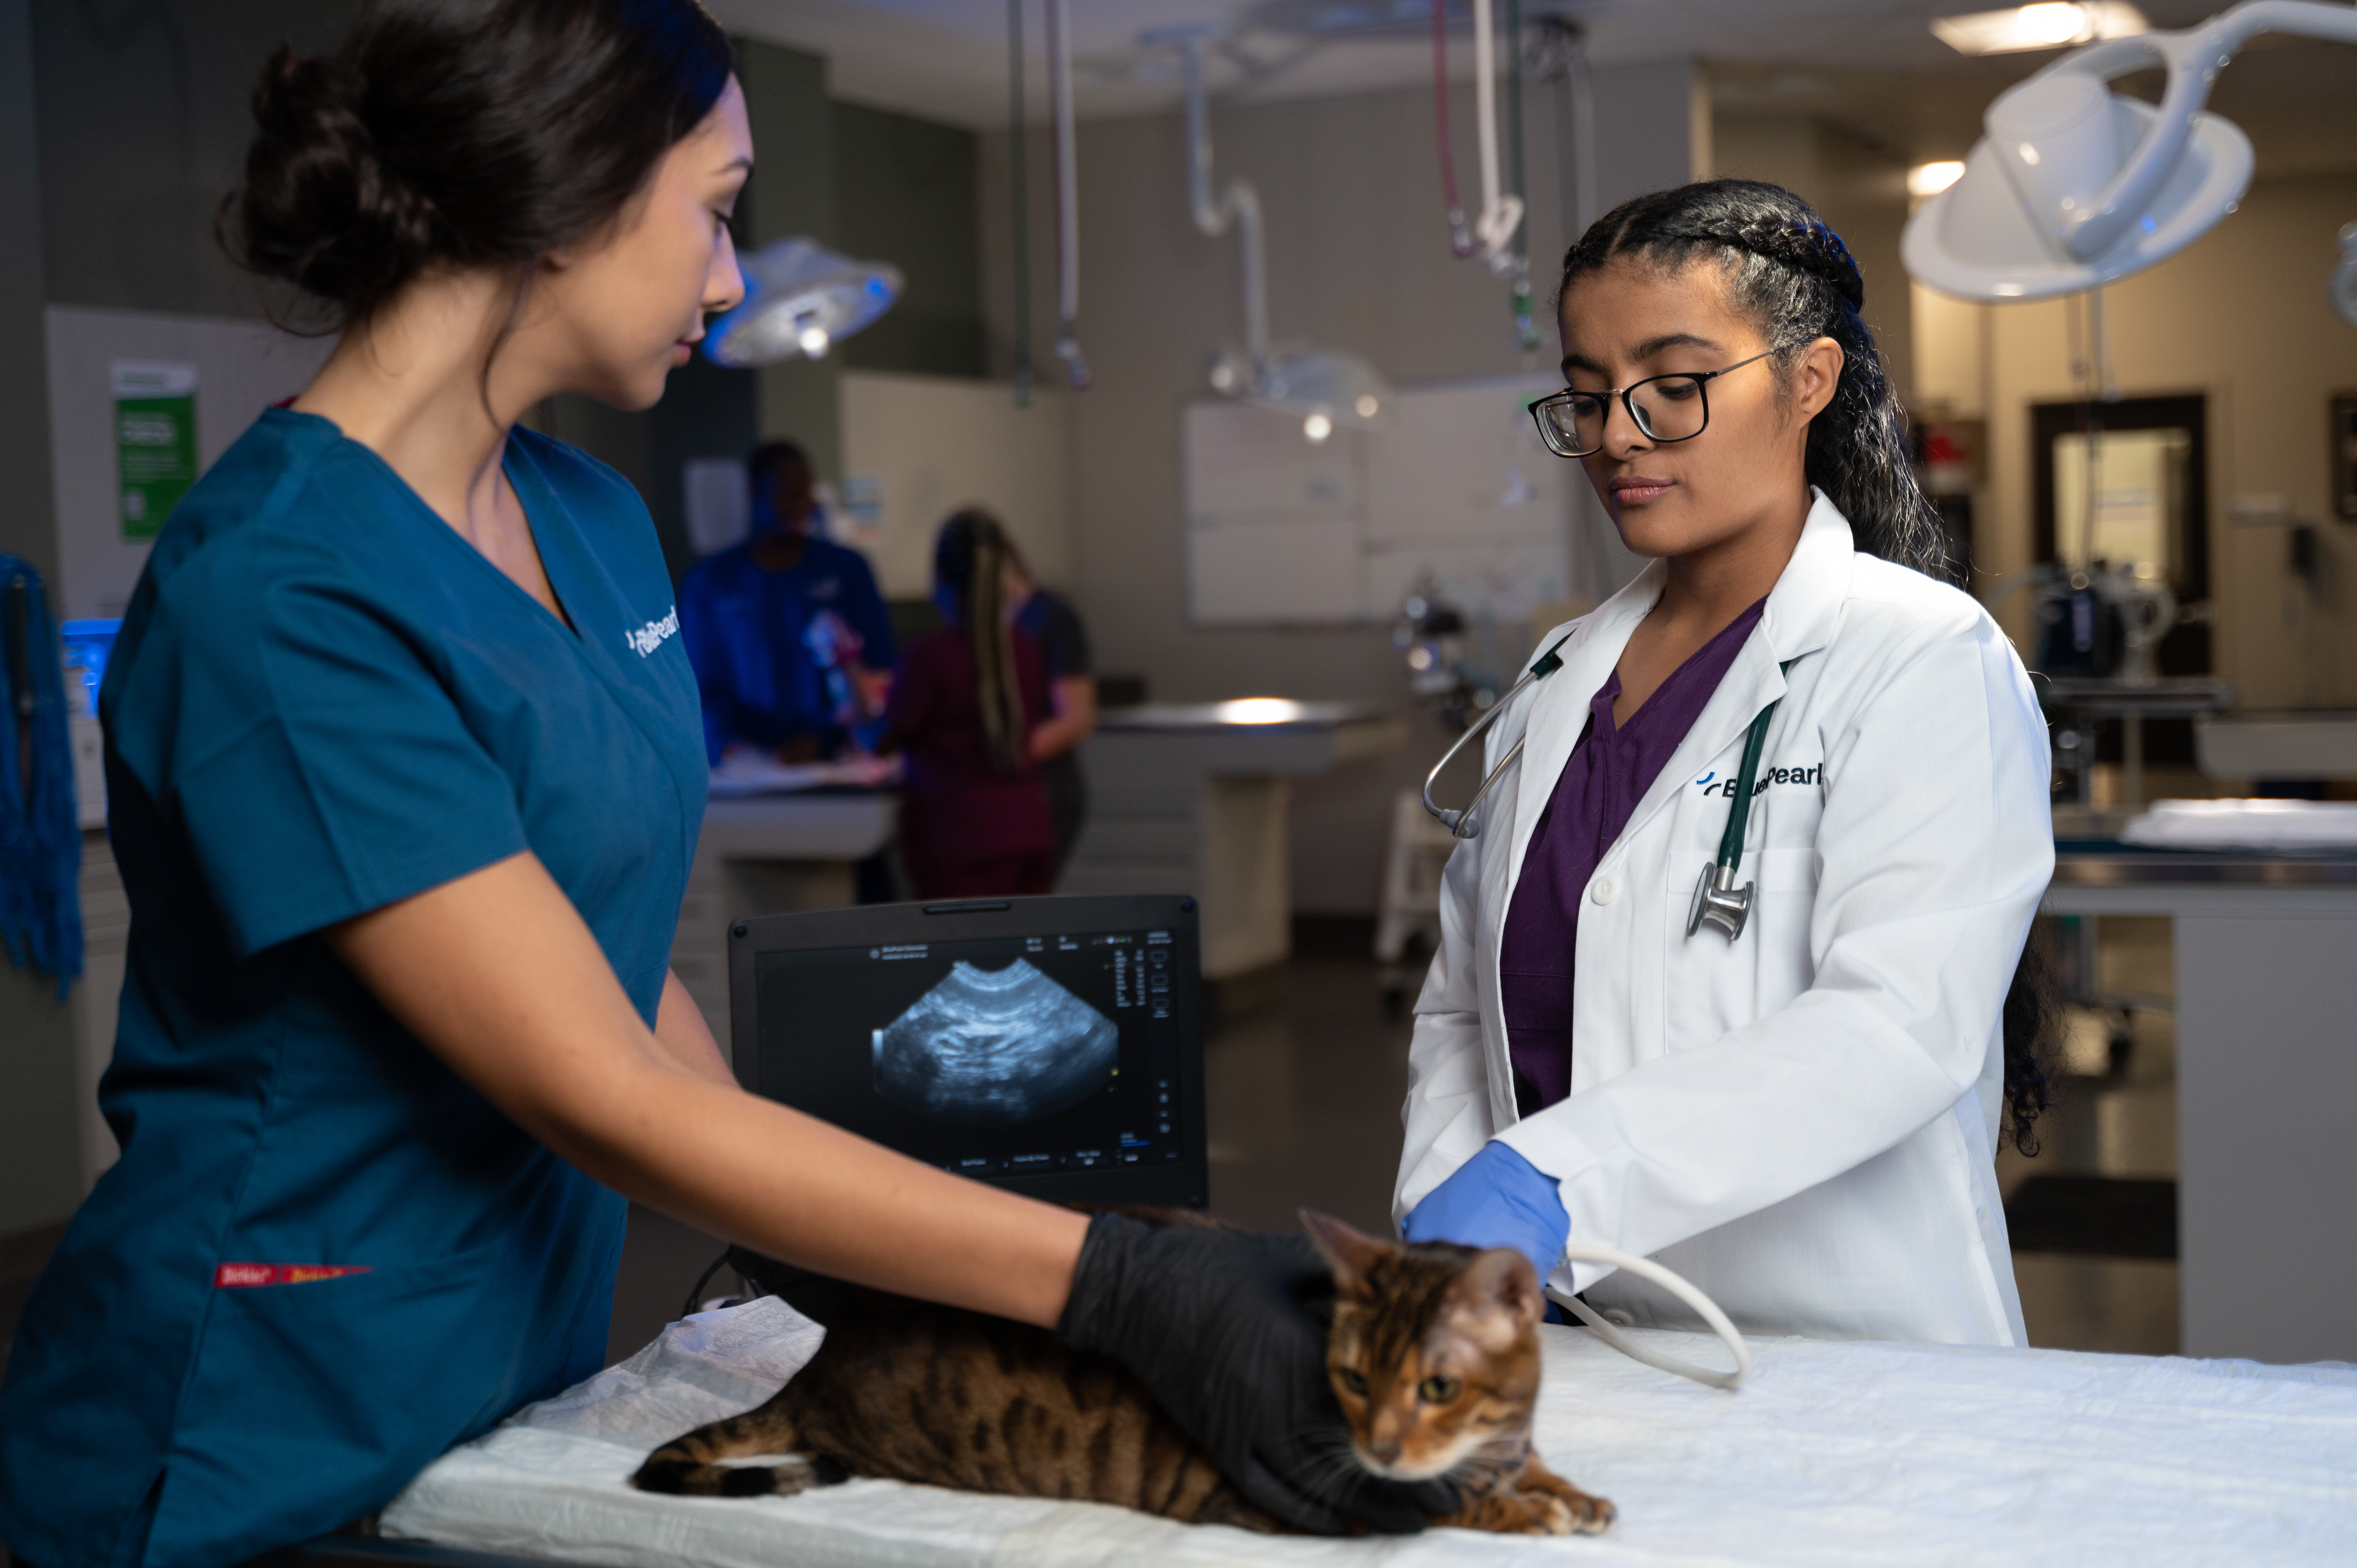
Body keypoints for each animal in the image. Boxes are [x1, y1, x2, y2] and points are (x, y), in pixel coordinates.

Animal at [636, 1207, 1612, 1528]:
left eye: (1437, 1385)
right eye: (1356, 1379)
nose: (1378, 1444)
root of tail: (820, 1363)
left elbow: (1534, 1466)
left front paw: (1568, 1489)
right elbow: (1458, 1502)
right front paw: (1530, 1509)